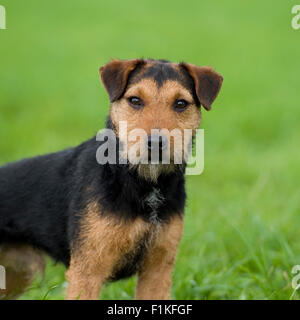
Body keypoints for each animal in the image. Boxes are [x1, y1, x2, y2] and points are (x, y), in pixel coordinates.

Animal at [0, 58, 223, 300]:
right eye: (135, 100)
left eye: (181, 103)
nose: (155, 143)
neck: (144, 183)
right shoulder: (87, 269)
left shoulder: (158, 268)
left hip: (17, 273)